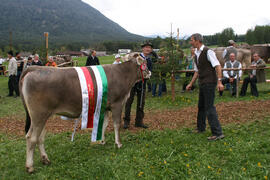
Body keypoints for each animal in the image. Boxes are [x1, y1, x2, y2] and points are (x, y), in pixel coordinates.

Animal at [20, 54, 151, 173]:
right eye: (144, 63)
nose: (149, 73)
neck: (123, 74)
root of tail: (35, 68)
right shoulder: (117, 104)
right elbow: (116, 124)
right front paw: (118, 143)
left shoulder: (105, 106)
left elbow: (104, 124)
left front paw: (102, 141)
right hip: (38, 115)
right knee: (32, 138)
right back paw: (30, 167)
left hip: (43, 116)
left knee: (39, 137)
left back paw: (45, 159)